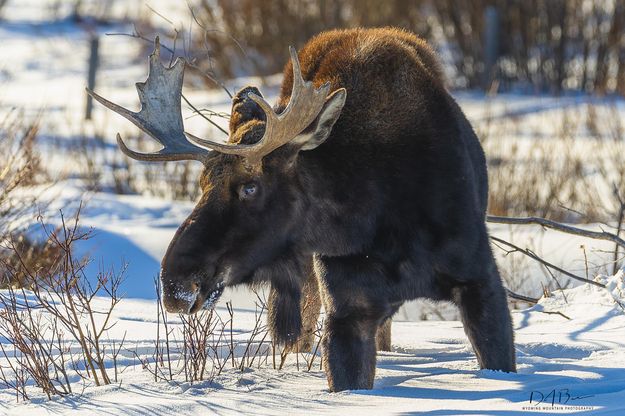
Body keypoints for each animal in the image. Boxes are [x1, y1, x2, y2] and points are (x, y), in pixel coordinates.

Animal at [89, 27, 516, 392]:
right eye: (202, 183)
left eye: (249, 187)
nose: (176, 282)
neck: (377, 218)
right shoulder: (348, 309)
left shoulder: (481, 282)